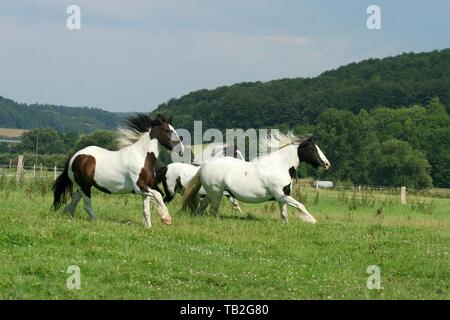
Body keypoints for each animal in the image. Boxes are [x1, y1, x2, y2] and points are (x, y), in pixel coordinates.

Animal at [52, 113, 185, 228]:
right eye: (168, 131)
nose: (181, 150)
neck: (142, 158)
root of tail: (75, 156)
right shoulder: (139, 187)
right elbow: (158, 195)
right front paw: (166, 219)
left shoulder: (145, 189)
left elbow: (146, 210)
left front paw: (149, 228)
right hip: (84, 186)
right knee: (87, 205)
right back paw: (96, 222)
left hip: (83, 186)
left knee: (74, 200)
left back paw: (69, 215)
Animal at [183, 131, 330, 224]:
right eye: (313, 149)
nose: (327, 164)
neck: (279, 166)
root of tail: (204, 166)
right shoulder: (281, 195)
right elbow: (300, 206)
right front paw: (312, 220)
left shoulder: (282, 197)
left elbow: (284, 214)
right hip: (216, 194)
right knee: (213, 210)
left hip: (212, 193)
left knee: (202, 207)